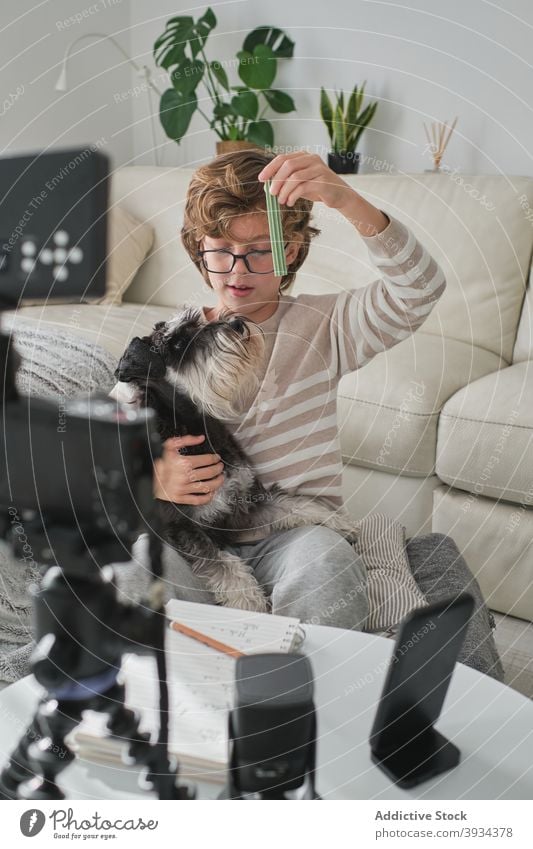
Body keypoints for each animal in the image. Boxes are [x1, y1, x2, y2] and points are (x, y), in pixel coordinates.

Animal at [112, 304, 362, 608]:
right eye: (178, 344)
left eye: (197, 322)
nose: (236, 324)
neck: (191, 423)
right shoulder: (180, 526)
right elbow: (223, 564)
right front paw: (251, 603)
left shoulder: (245, 505)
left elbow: (295, 505)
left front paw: (343, 524)